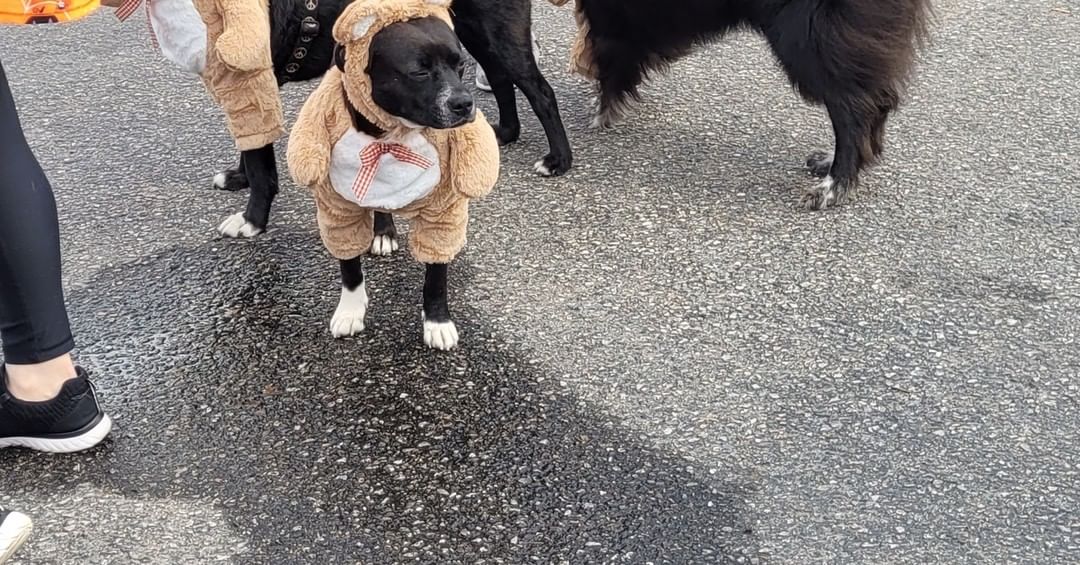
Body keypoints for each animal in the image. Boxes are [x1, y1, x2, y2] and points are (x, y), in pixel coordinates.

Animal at [213, 0, 570, 240]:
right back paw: (507, 132)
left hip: (497, 30)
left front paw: (252, 220)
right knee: (499, 76)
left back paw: (559, 160)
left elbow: (260, 159)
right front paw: (240, 177)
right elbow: (252, 138)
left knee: (540, 92)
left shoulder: (250, 70)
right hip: (471, 32)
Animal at [570, 0, 933, 209]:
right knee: (877, 100)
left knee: (854, 110)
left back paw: (832, 187)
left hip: (808, 34)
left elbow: (608, 59)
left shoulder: (611, 17)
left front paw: (602, 115)